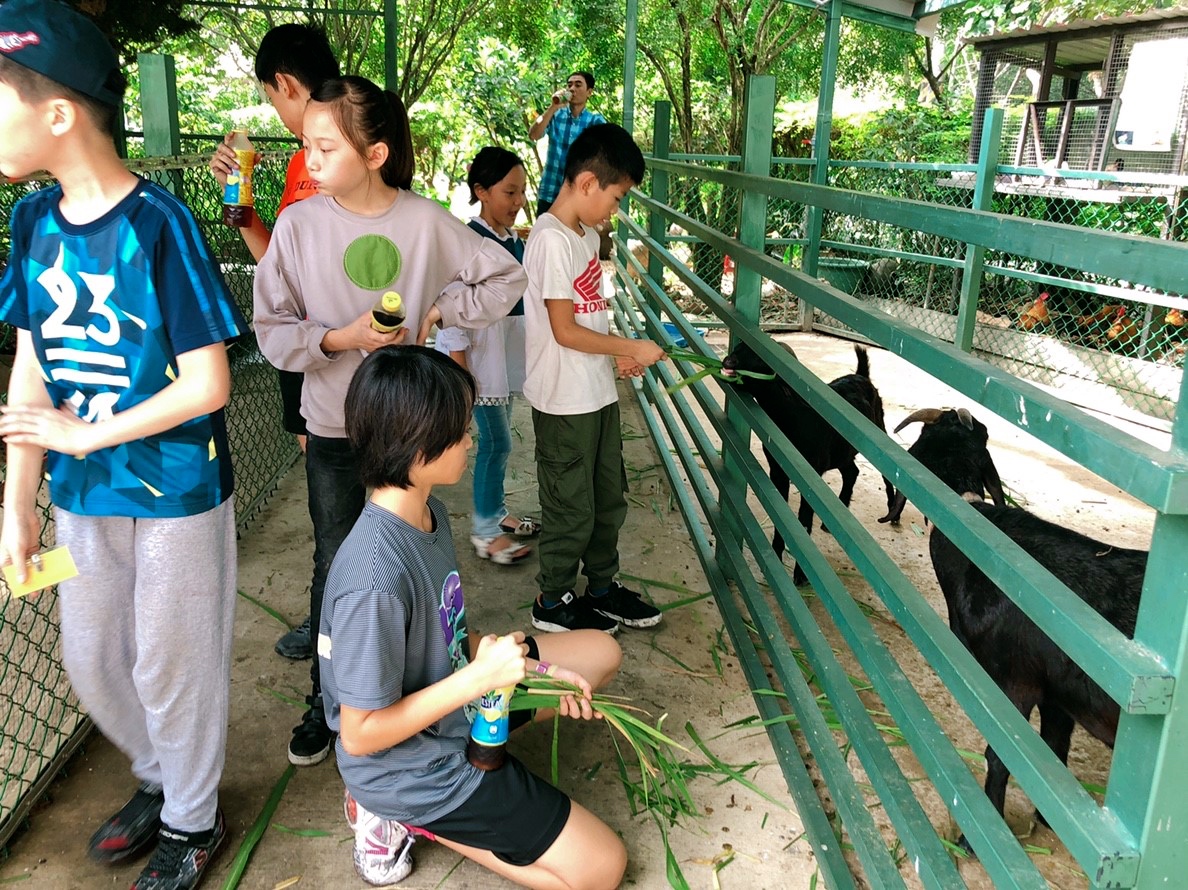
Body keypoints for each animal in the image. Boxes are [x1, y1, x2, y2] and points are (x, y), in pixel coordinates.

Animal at [712, 337, 898, 586]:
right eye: (737, 348)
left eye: (760, 360)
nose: (728, 361)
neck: (793, 415)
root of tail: (862, 376)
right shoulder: (778, 471)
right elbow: (782, 516)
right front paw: (776, 556)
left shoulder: (810, 478)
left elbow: (803, 520)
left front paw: (800, 575)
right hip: (840, 452)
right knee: (852, 472)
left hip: (879, 427)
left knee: (884, 474)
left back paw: (891, 513)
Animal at [931, 499, 1145, 846]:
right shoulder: (1056, 696)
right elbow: (1054, 750)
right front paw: (1047, 821)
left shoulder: (1016, 679)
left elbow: (1001, 754)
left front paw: (971, 842)